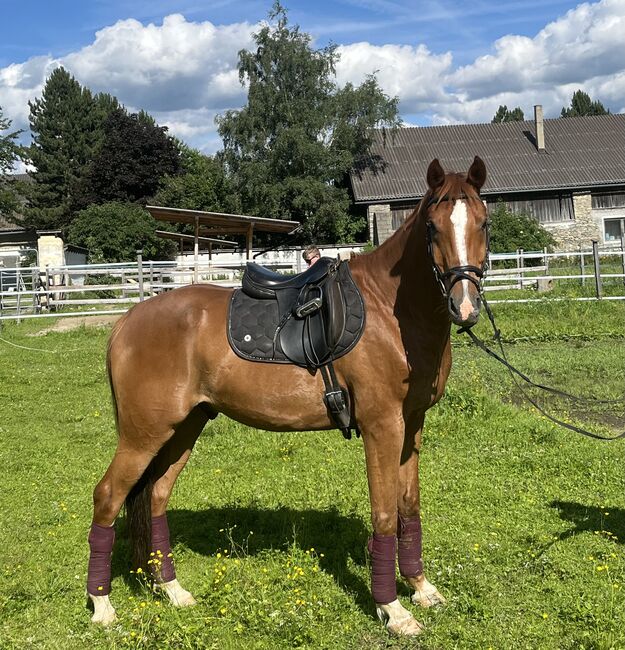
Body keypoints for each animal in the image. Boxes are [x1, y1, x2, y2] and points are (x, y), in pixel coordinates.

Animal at [86, 156, 488, 632]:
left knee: (156, 498)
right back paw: (102, 607)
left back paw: (172, 591)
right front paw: (392, 609)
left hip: (183, 428)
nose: (464, 306)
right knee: (108, 497)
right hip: (143, 434)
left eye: (483, 223)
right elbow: (385, 514)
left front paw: (422, 589)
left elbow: (408, 507)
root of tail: (125, 323)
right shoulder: (382, 426)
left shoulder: (412, 426)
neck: (390, 312)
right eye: (432, 227)